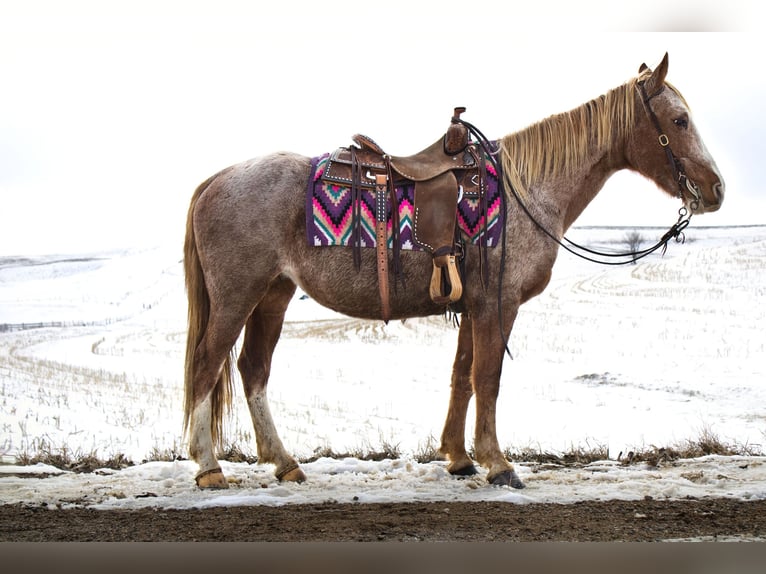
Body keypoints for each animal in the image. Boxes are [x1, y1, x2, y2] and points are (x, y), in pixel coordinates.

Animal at [182, 53, 724, 489]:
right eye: (678, 120)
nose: (716, 188)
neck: (527, 189)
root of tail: (217, 179)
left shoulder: (472, 304)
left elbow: (462, 376)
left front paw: (459, 458)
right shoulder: (497, 305)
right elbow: (488, 378)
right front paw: (498, 464)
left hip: (272, 294)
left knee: (253, 369)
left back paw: (285, 463)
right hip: (237, 296)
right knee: (207, 364)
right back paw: (209, 468)